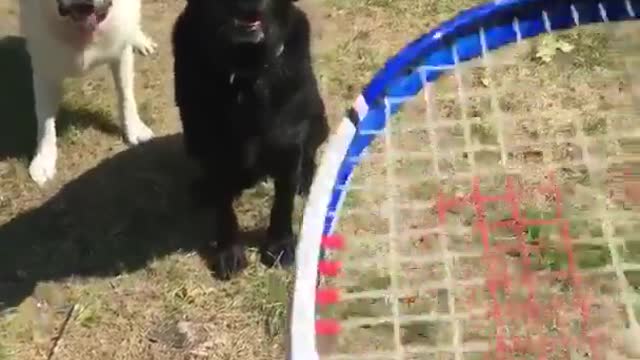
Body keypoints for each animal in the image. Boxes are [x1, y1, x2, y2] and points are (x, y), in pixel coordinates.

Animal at [19, 0, 158, 186]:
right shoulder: (45, 68)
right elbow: (45, 121)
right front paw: (44, 159)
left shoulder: (121, 52)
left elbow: (125, 95)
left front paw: (134, 128)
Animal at [171, 0, 328, 278]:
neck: (245, 69)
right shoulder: (212, 149)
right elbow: (223, 207)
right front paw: (229, 251)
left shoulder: (287, 143)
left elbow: (283, 202)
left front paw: (280, 245)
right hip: (192, 139)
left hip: (317, 115)